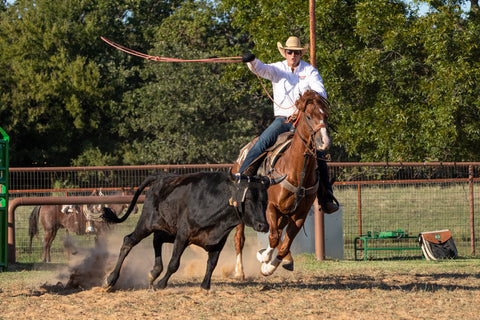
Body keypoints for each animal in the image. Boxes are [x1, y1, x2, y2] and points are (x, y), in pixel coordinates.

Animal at [232, 89, 330, 278]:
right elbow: (274, 237)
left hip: (284, 215)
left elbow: (283, 244)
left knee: (277, 232)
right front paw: (264, 260)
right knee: (239, 237)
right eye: (308, 116)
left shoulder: (299, 215)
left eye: (326, 116)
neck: (296, 172)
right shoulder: (270, 207)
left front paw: (270, 265)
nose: (324, 141)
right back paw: (239, 270)